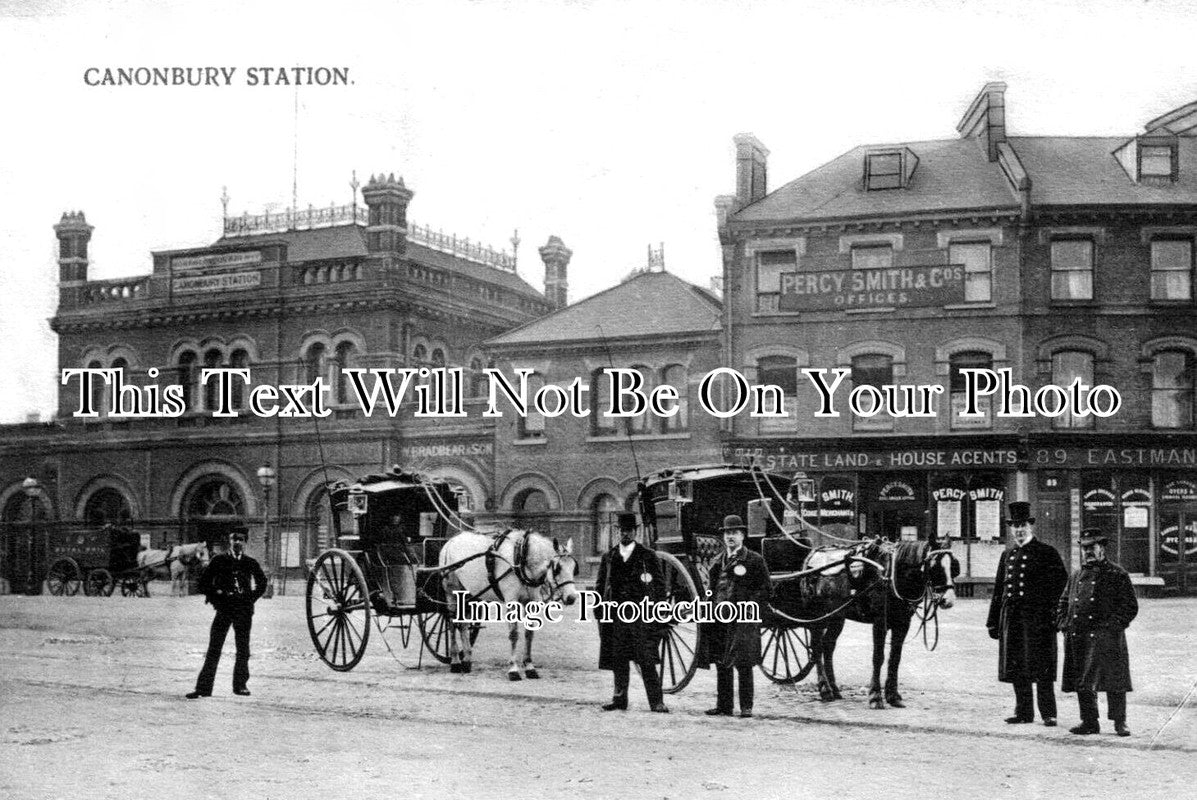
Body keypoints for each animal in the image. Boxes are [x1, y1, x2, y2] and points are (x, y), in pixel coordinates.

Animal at [442, 526, 581, 680]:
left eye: (574, 568)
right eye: (557, 569)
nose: (571, 597)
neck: (521, 558)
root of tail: (451, 541)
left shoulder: (531, 602)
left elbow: (529, 633)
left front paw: (529, 667)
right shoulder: (511, 601)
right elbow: (514, 634)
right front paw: (513, 670)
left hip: (470, 593)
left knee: (463, 624)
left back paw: (467, 661)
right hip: (451, 591)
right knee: (452, 623)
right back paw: (455, 661)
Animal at [804, 541, 962, 708]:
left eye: (954, 566)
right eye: (934, 566)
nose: (948, 600)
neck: (891, 577)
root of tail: (813, 555)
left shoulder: (903, 623)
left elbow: (895, 658)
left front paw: (893, 696)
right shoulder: (880, 622)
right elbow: (878, 657)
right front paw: (875, 696)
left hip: (837, 617)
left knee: (828, 646)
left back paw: (834, 689)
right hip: (818, 617)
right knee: (817, 647)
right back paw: (825, 690)